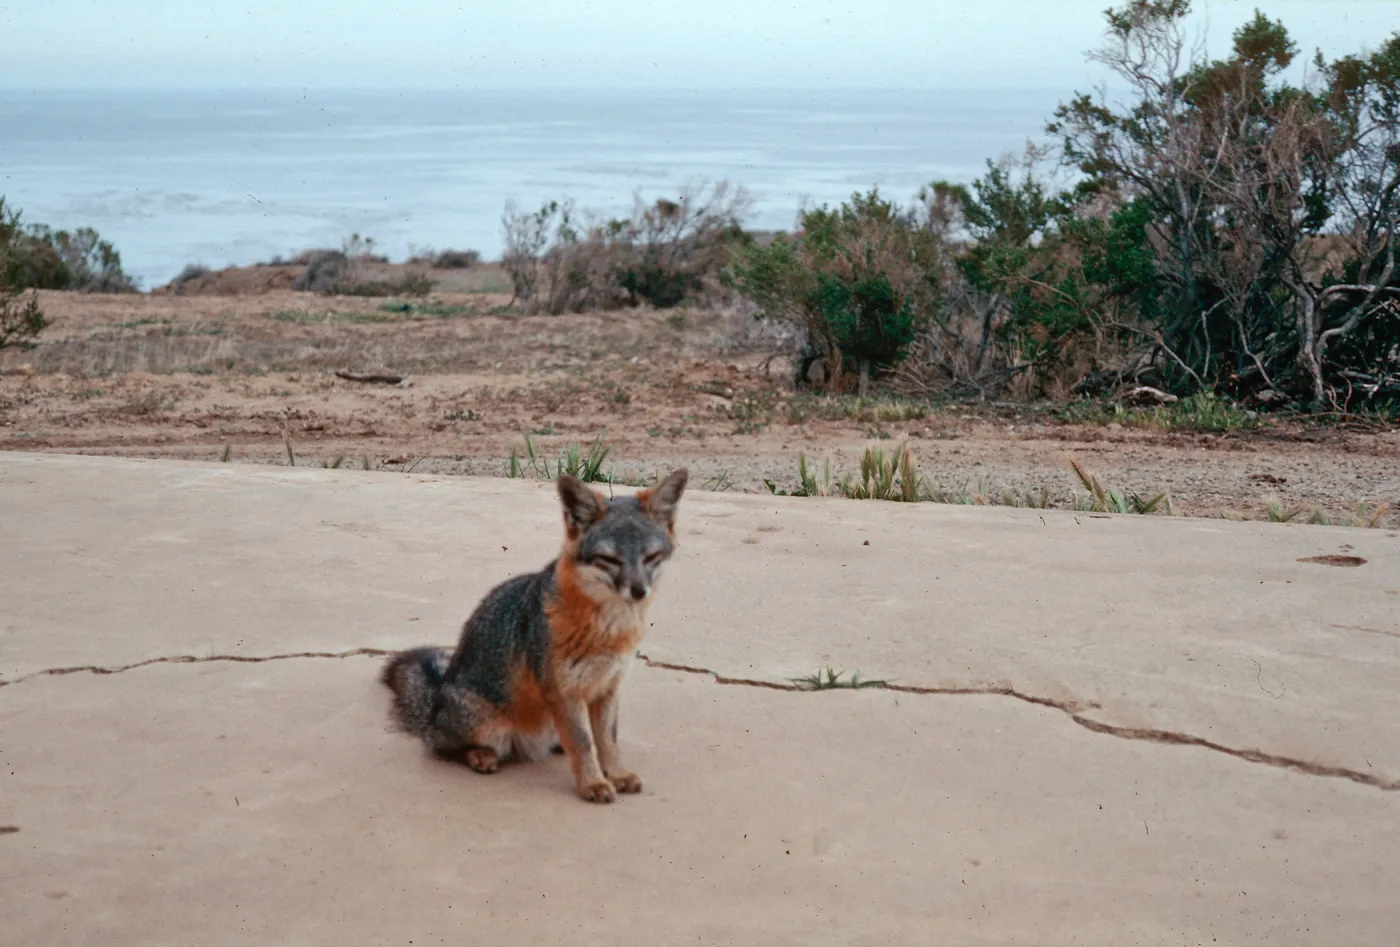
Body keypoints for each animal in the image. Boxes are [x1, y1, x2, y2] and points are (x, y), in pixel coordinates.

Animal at [381, 469, 688, 803]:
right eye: (610, 560)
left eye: (651, 556)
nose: (639, 591)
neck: (607, 630)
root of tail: (436, 700)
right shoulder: (564, 691)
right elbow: (583, 742)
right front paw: (593, 782)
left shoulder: (608, 687)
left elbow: (607, 740)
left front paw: (616, 774)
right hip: (487, 727)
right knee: (439, 746)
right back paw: (480, 755)